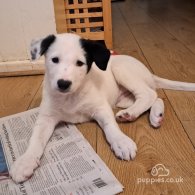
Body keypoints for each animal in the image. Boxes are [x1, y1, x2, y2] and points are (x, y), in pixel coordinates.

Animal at [9, 33, 195, 183]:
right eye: (55, 60)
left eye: (80, 63)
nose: (63, 83)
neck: (71, 96)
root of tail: (148, 71)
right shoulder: (46, 118)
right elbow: (36, 140)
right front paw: (25, 162)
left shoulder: (101, 108)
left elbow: (111, 127)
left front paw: (121, 142)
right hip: (124, 99)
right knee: (155, 97)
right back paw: (155, 115)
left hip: (121, 69)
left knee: (149, 93)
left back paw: (133, 114)